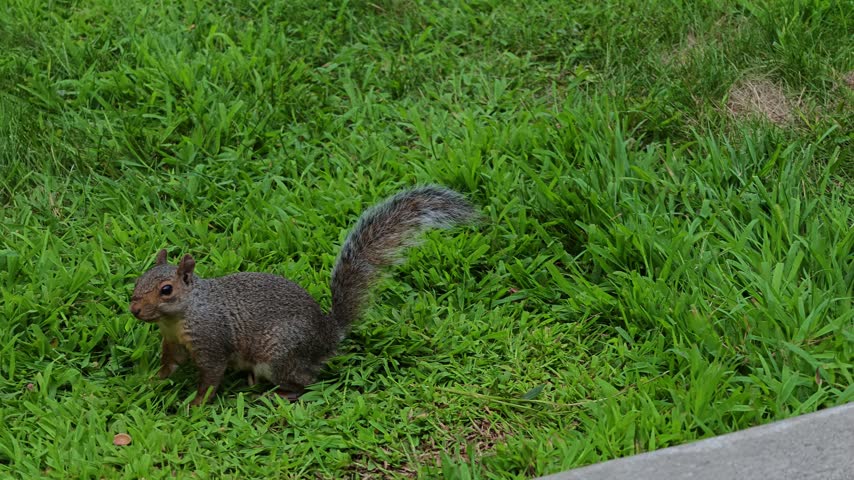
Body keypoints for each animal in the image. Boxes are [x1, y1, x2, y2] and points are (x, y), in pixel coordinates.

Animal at [129, 185, 477, 405]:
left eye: (166, 290)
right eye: (137, 281)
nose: (134, 310)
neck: (180, 316)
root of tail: (328, 335)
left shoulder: (211, 339)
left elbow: (212, 376)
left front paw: (196, 405)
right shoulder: (173, 343)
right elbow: (169, 366)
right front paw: (150, 381)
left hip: (279, 355)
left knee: (306, 382)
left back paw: (276, 395)